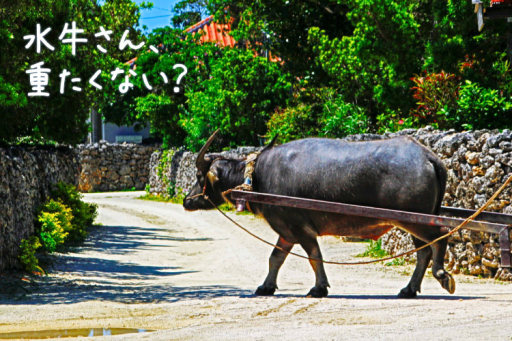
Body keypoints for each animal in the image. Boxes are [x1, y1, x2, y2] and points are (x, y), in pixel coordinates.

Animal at [182, 131, 454, 298]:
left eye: (199, 176)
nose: (186, 200)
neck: (257, 177)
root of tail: (428, 157)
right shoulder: (286, 231)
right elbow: (275, 258)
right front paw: (266, 286)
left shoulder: (300, 229)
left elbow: (314, 257)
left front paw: (319, 288)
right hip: (414, 220)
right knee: (424, 251)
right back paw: (409, 289)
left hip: (414, 219)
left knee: (440, 236)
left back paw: (442, 276)